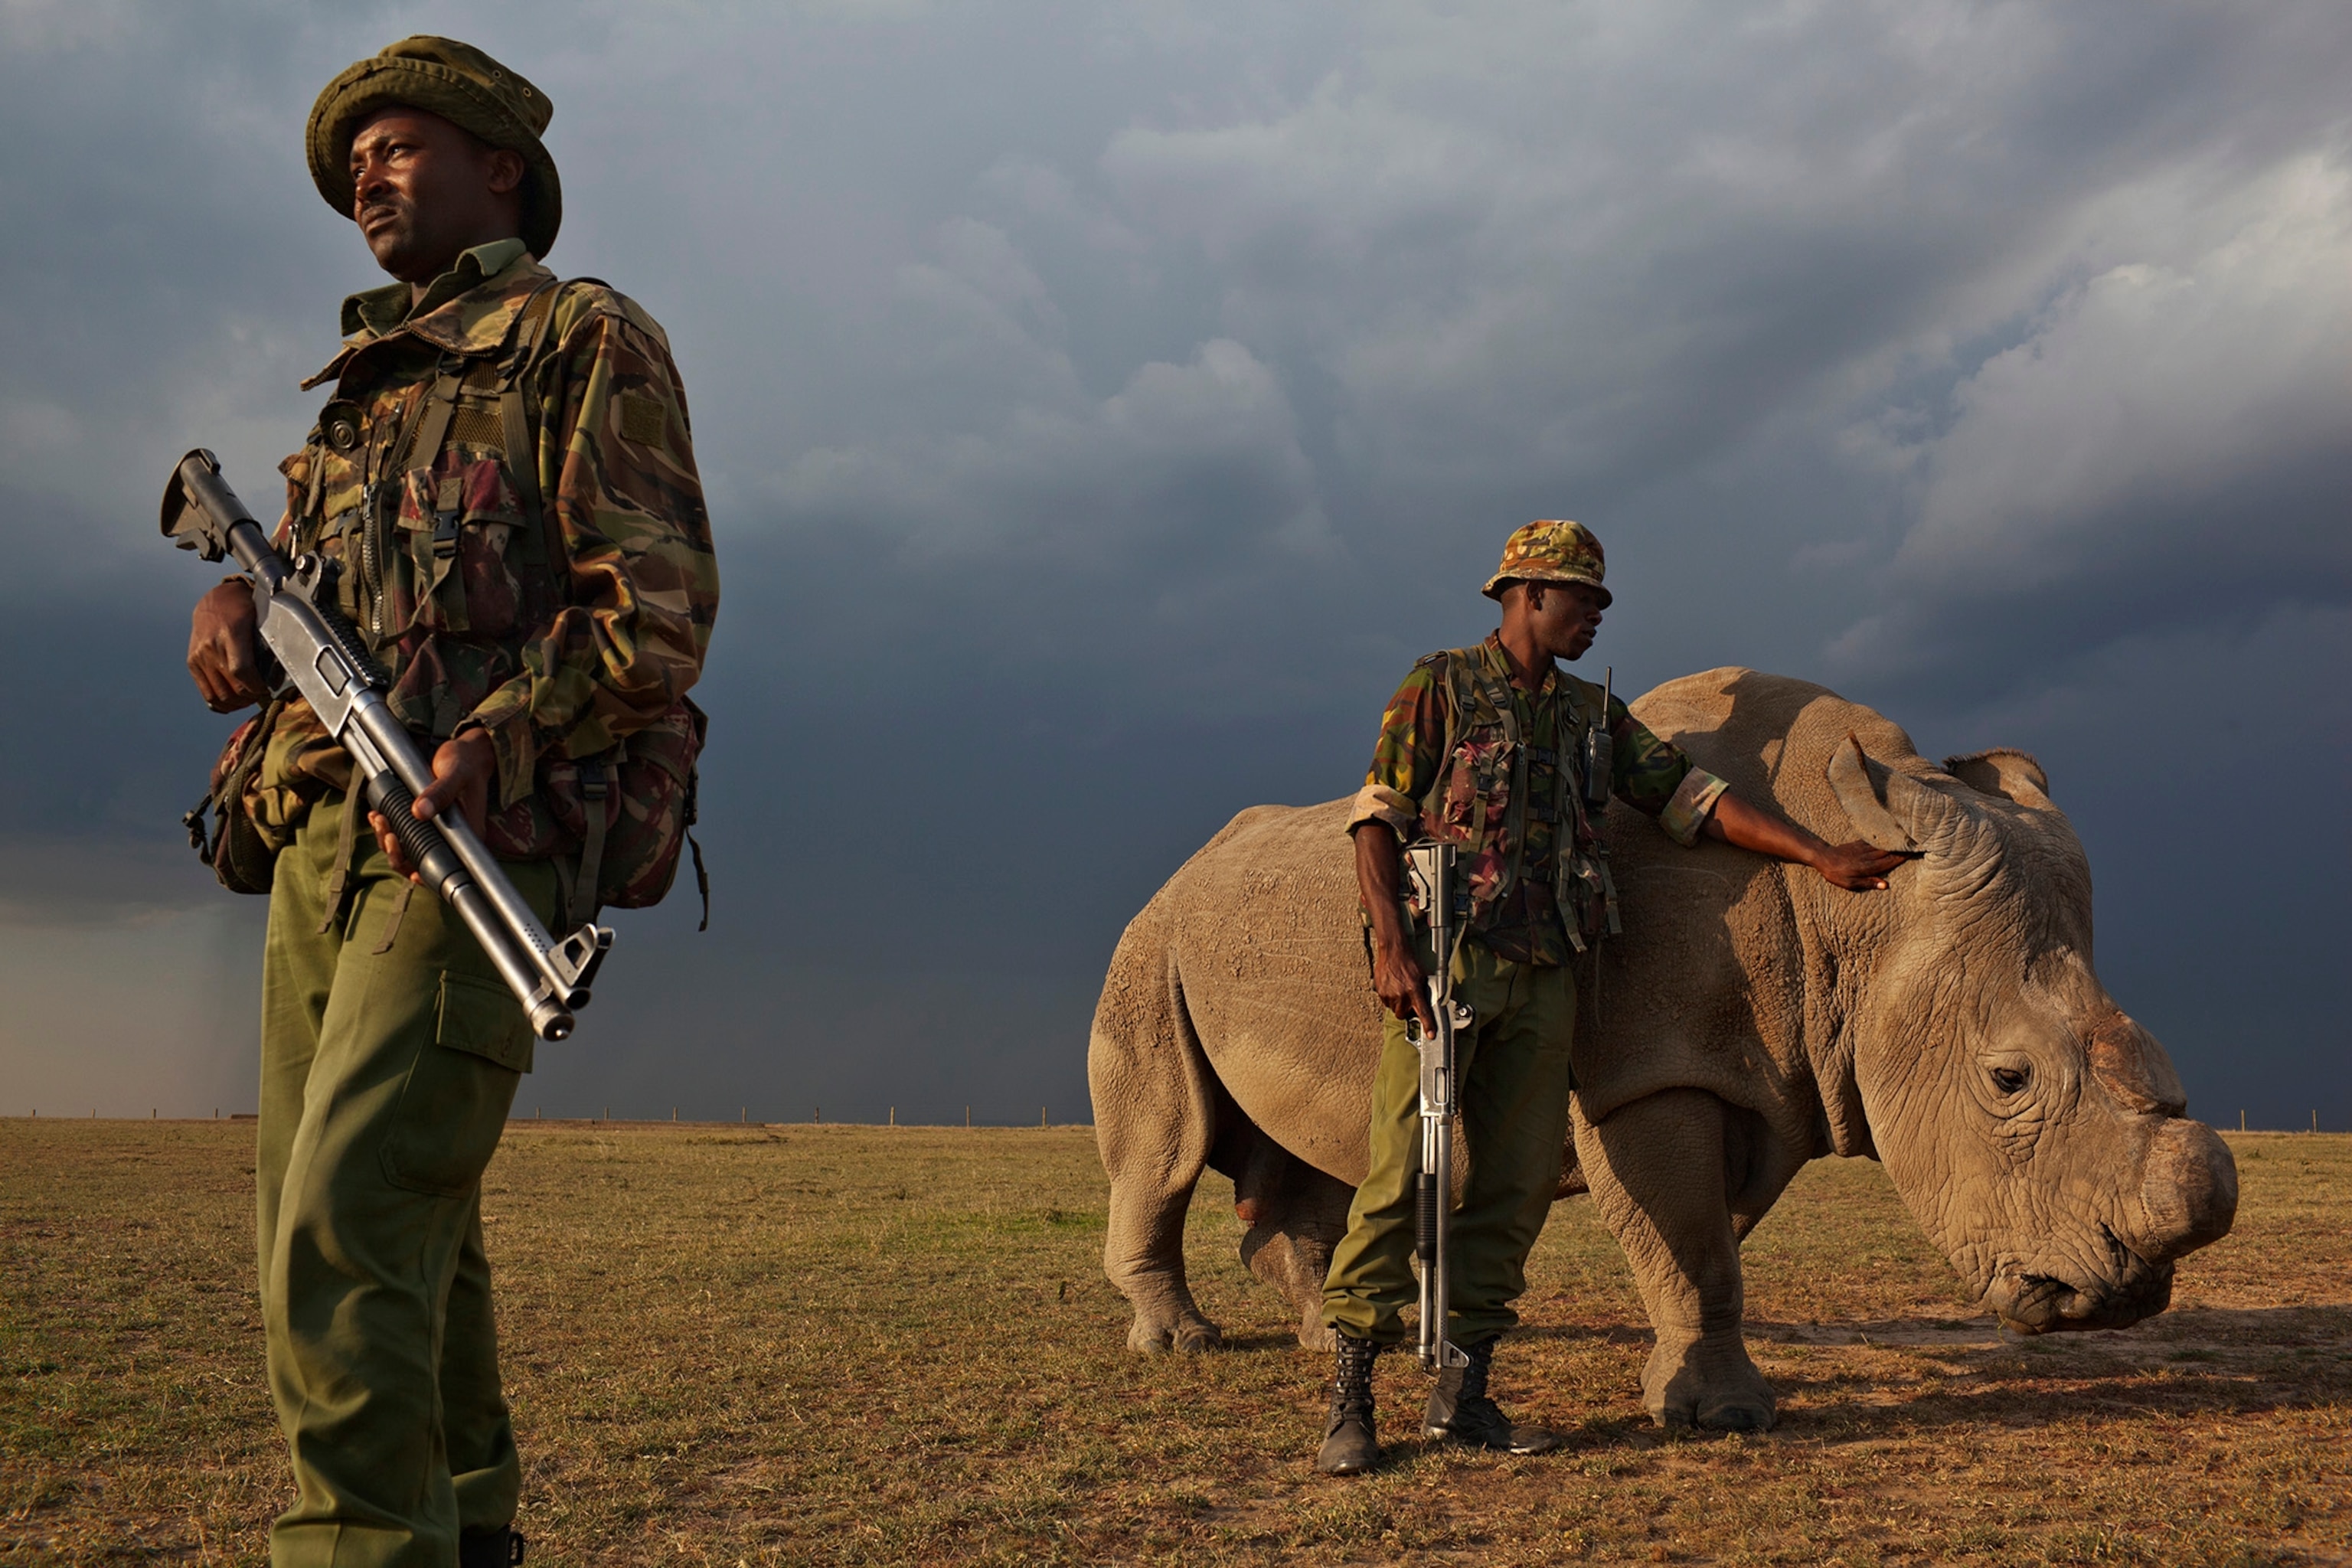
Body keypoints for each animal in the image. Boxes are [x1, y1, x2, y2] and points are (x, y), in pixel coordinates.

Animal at [1088, 668, 2238, 1430]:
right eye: (2006, 1080)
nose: (2124, 1299)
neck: (1856, 921)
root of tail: (1180, 874)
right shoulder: (1647, 1073)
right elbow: (1689, 1236)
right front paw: (1716, 1416)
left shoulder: (1760, 1072)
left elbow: (1702, 1238)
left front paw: (1688, 1387)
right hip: (1148, 946)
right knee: (1169, 1145)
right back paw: (1181, 1344)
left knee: (1322, 1154)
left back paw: (1326, 1335)